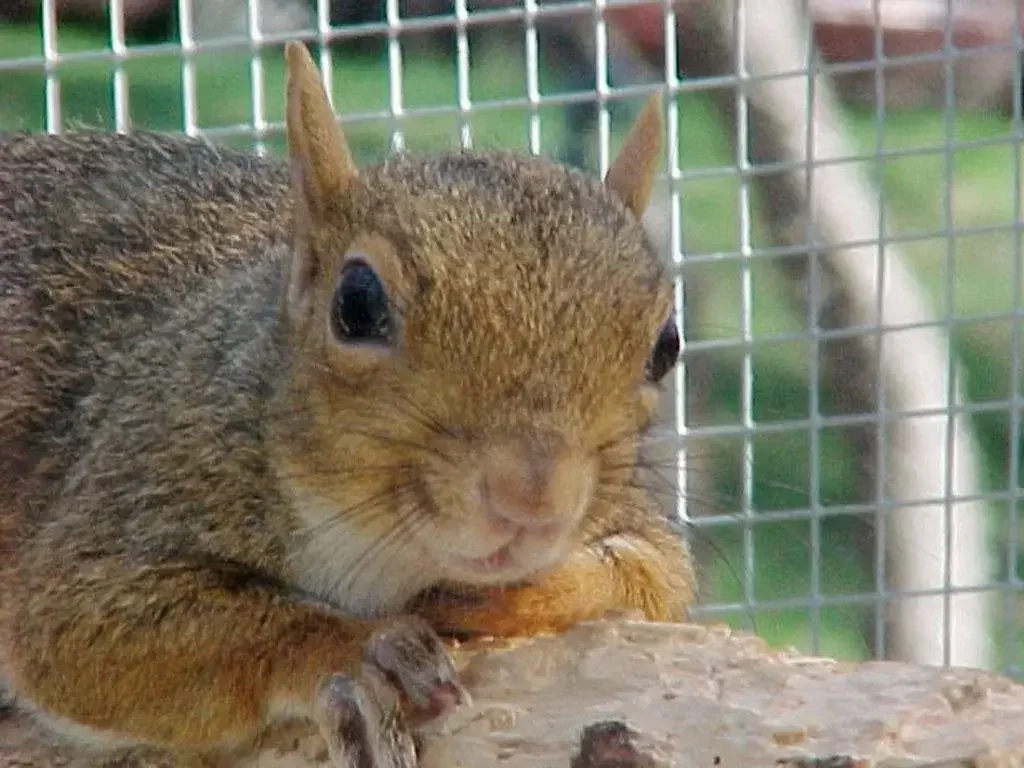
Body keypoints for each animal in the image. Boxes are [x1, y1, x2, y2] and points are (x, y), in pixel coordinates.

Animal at [0, 41, 696, 767]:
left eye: (666, 344)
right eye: (356, 304)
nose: (531, 498)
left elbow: (654, 579)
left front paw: (507, 596)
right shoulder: (137, 472)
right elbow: (68, 633)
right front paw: (356, 652)